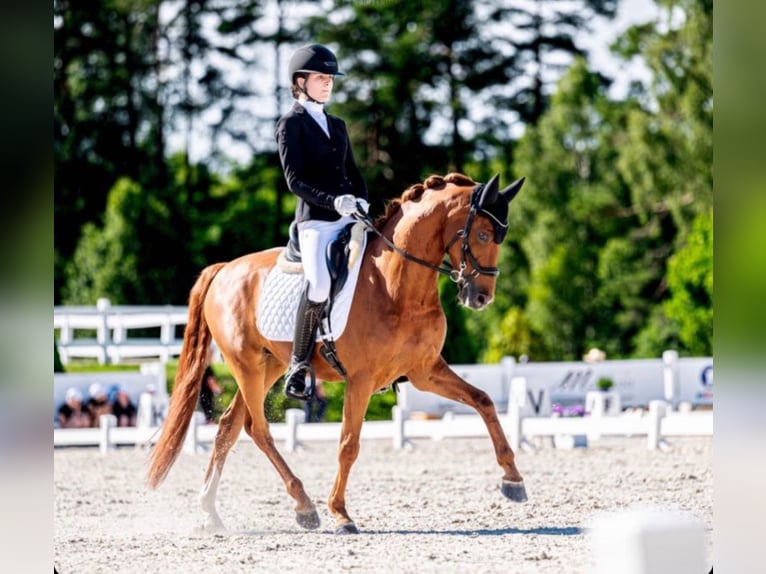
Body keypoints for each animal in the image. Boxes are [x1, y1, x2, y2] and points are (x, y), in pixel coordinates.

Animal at [146, 171, 528, 536]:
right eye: (482, 235)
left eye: (500, 237)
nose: (481, 298)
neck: (398, 285)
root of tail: (224, 268)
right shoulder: (361, 380)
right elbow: (348, 444)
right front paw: (341, 514)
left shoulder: (425, 371)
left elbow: (483, 401)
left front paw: (513, 478)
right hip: (247, 366)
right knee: (259, 429)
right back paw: (304, 506)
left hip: (269, 366)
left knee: (230, 427)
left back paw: (212, 514)